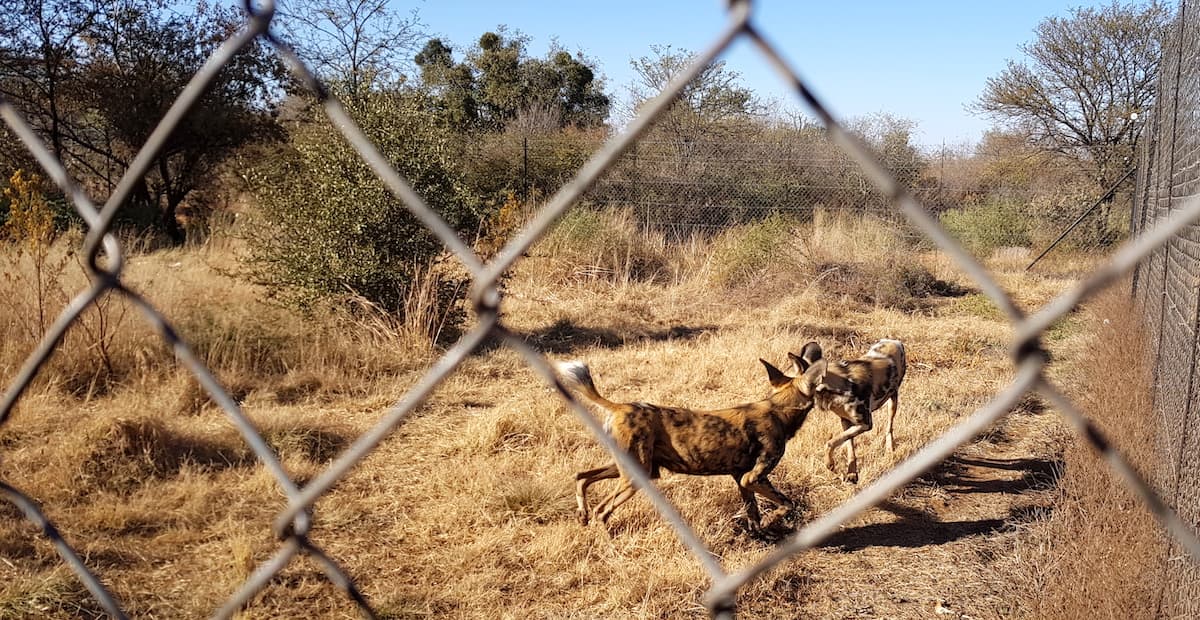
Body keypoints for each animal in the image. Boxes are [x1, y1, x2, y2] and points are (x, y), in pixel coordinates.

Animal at [559, 345, 825, 534]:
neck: (779, 408)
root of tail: (620, 406)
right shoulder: (753, 477)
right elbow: (787, 504)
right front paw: (772, 522)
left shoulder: (741, 478)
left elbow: (754, 515)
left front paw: (761, 536)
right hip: (636, 476)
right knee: (602, 511)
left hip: (631, 467)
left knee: (581, 477)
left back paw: (582, 516)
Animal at [816, 338, 907, 484]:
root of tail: (894, 340)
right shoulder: (846, 421)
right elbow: (849, 446)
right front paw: (852, 473)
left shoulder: (865, 424)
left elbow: (830, 443)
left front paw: (830, 464)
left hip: (893, 401)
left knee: (889, 427)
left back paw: (889, 449)